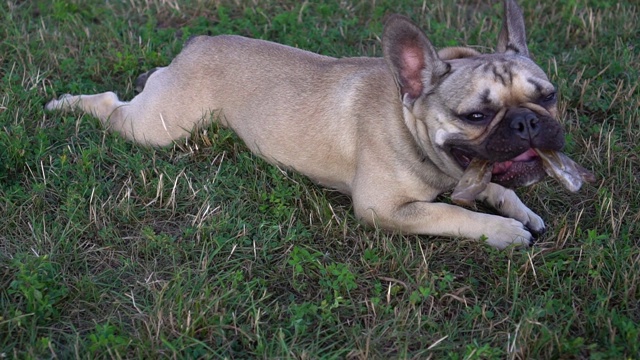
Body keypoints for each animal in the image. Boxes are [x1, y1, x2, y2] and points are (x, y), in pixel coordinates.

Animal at [47, 0, 568, 248]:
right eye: (476, 116)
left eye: (549, 96)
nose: (527, 123)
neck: (408, 121)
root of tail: (196, 44)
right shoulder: (383, 209)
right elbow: (452, 214)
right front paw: (503, 232)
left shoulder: (472, 171)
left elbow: (494, 185)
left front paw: (520, 210)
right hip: (157, 129)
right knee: (112, 105)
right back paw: (64, 103)